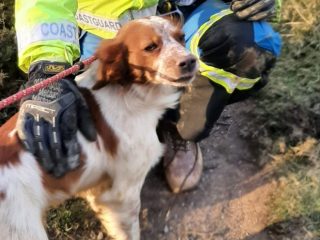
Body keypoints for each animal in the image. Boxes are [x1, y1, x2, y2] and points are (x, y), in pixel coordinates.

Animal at [0, 16, 198, 240]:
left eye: (181, 38)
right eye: (151, 47)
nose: (190, 61)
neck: (129, 91)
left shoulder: (98, 189)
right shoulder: (122, 193)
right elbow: (130, 230)